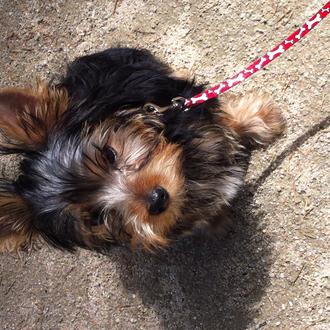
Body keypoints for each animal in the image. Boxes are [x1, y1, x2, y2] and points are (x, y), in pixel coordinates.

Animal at [0, 47, 284, 253]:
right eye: (95, 218)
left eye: (109, 154)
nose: (158, 199)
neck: (184, 169)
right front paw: (216, 221)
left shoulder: (188, 109)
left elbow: (221, 115)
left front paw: (260, 119)